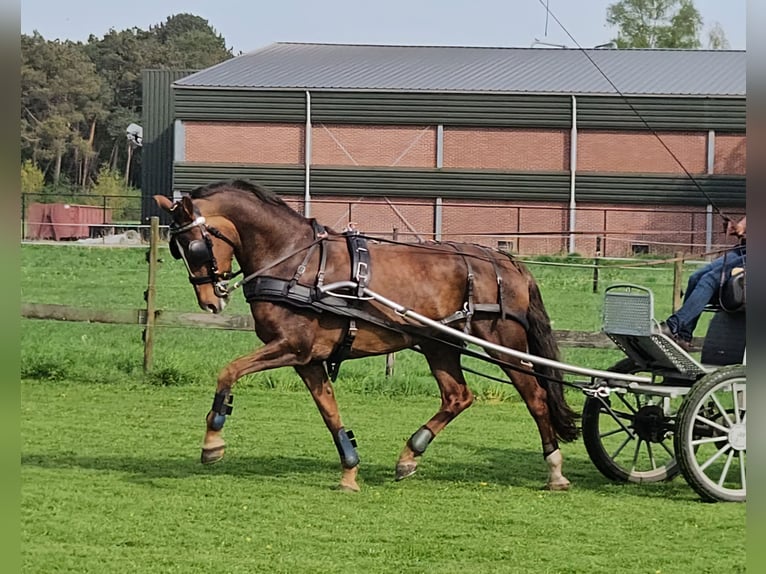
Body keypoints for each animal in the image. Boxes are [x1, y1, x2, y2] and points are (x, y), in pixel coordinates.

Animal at [154, 181, 576, 496]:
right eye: (177, 248)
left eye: (196, 246)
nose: (210, 301)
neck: (295, 262)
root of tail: (507, 261)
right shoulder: (308, 359)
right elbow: (330, 413)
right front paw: (349, 471)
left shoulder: (291, 347)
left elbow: (228, 372)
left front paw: (212, 442)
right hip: (438, 344)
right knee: (458, 396)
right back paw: (409, 455)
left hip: (504, 343)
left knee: (536, 397)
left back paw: (555, 470)